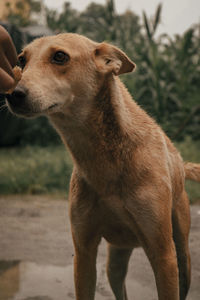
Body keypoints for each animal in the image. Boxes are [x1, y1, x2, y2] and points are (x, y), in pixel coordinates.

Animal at [5, 34, 200, 300]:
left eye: (60, 56)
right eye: (22, 60)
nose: (12, 94)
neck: (105, 160)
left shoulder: (163, 255)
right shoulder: (84, 253)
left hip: (183, 258)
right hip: (114, 262)